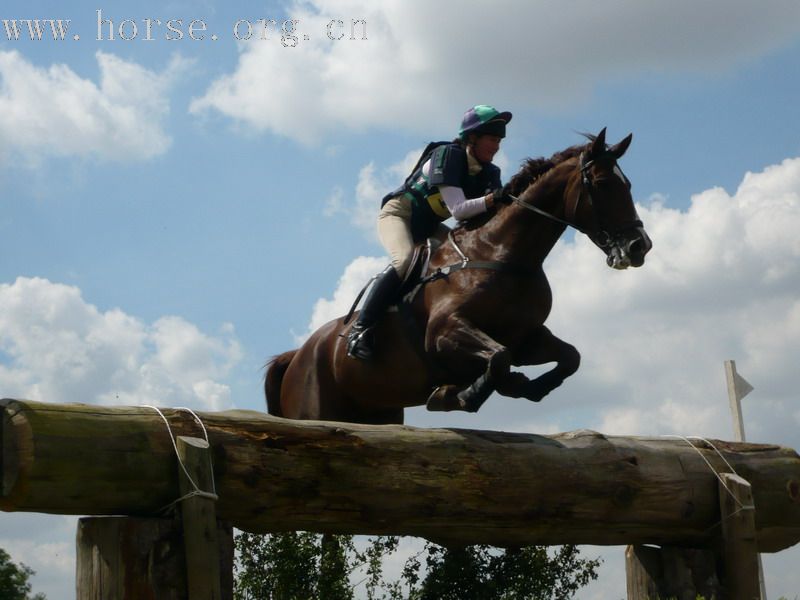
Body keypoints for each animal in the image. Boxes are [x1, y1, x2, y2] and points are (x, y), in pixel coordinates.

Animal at [266, 129, 652, 424]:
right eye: (601, 184)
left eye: (629, 184)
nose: (639, 247)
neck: (503, 255)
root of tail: (298, 354)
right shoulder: (444, 334)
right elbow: (498, 359)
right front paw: (458, 395)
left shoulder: (526, 339)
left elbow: (569, 357)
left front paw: (526, 387)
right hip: (316, 409)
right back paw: (359, 339)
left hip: (379, 412)